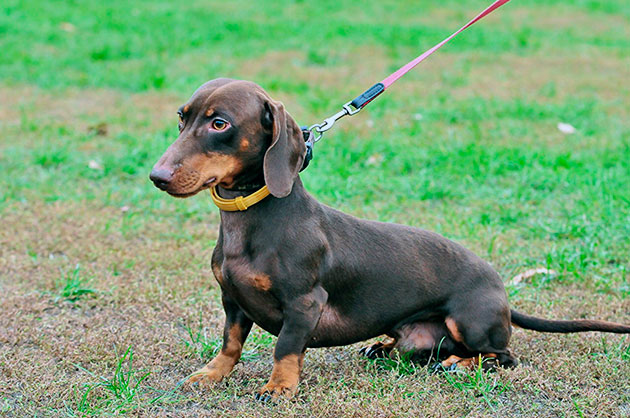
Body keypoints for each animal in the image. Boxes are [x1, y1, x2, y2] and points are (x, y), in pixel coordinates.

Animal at [152, 79, 630, 402]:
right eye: (181, 117)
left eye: (220, 123)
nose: (157, 176)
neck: (251, 221)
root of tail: (503, 295)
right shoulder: (232, 300)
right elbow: (230, 343)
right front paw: (212, 374)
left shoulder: (305, 304)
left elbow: (286, 348)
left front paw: (279, 388)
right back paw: (383, 347)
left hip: (471, 321)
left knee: (502, 356)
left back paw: (460, 365)